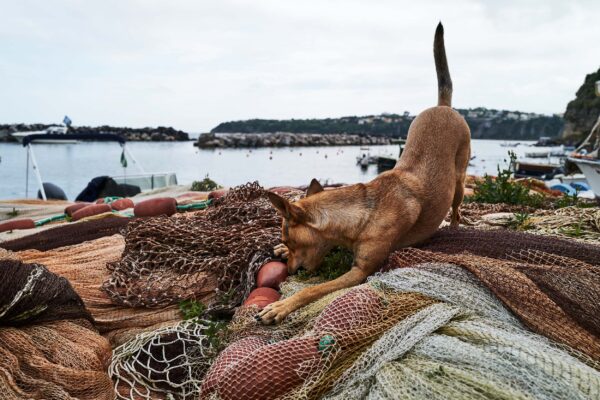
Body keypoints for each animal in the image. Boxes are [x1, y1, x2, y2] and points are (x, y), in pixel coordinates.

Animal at [260, 21, 472, 324]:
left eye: (290, 240)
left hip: (459, 181)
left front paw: (281, 306)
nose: (289, 271)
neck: (363, 212)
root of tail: (443, 107)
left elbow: (313, 290)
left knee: (456, 209)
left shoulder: (360, 272)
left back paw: (454, 226)